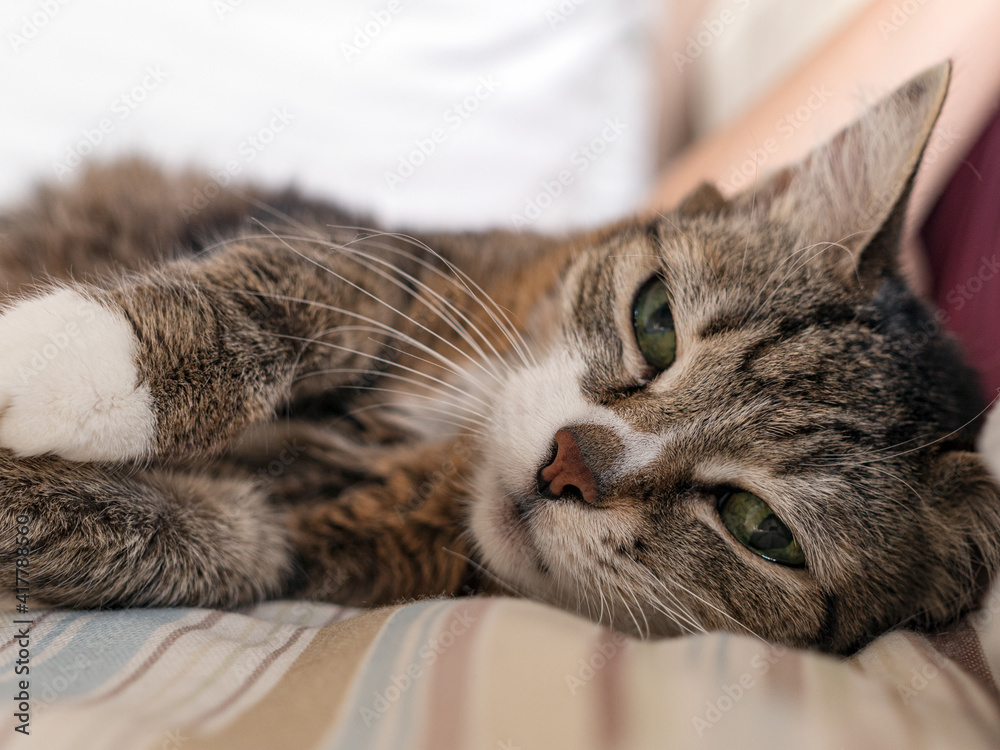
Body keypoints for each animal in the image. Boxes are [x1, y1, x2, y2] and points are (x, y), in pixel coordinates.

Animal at [0, 64, 996, 656]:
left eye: (761, 529)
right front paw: (57, 362)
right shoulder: (388, 263)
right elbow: (274, 302)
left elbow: (205, 539)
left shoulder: (296, 536)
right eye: (656, 322)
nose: (570, 464)